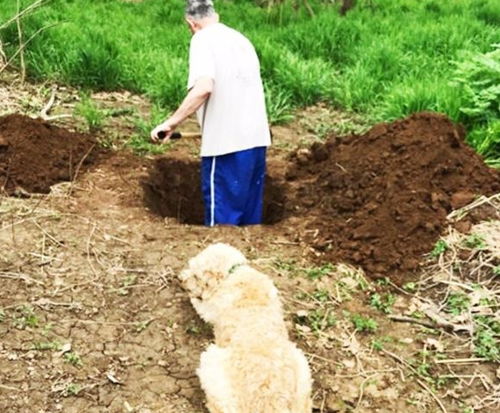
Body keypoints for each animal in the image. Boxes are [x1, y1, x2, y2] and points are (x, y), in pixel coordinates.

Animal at [180, 243, 312, 410]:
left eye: (196, 276)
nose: (181, 281)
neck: (234, 272)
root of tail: (271, 403)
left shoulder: (209, 310)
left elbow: (199, 304)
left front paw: (192, 297)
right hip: (302, 367)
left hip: (210, 361)